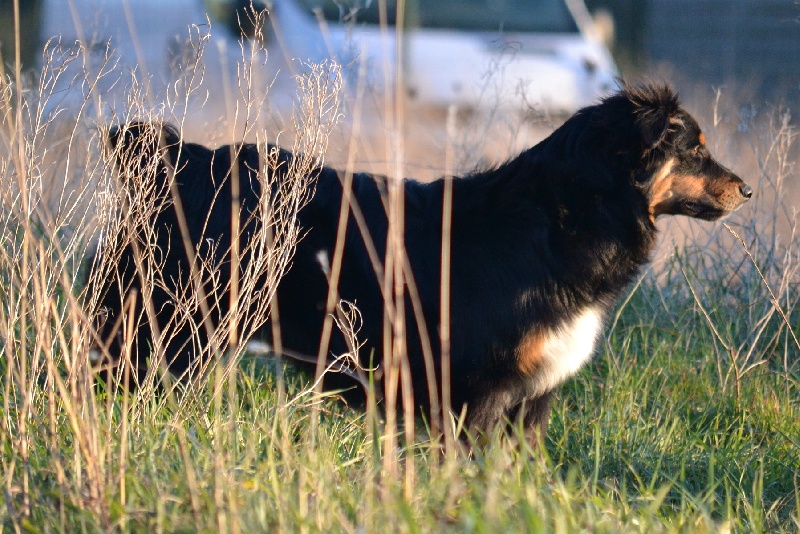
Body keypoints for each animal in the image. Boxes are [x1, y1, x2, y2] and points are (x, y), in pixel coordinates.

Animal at [90, 84, 752, 444]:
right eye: (694, 149)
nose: (747, 190)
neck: (563, 218)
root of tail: (178, 159)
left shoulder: (530, 400)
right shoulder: (477, 394)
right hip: (158, 329)